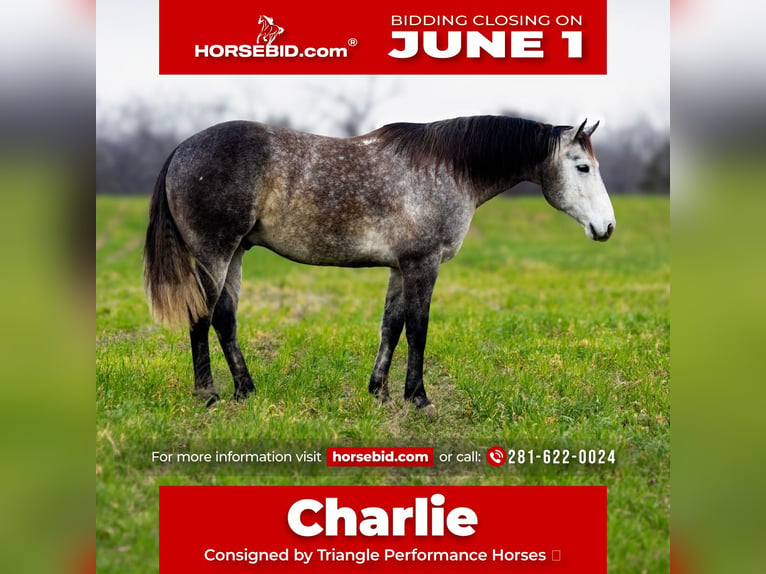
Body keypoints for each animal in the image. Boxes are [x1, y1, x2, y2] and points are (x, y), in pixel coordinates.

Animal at [144, 115, 615, 412]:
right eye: (582, 167)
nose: (607, 227)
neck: (446, 169)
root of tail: (182, 148)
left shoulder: (399, 267)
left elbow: (392, 326)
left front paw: (380, 392)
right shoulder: (423, 263)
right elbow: (419, 329)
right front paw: (418, 397)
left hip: (236, 252)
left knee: (224, 317)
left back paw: (245, 389)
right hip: (216, 252)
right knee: (203, 316)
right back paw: (208, 394)